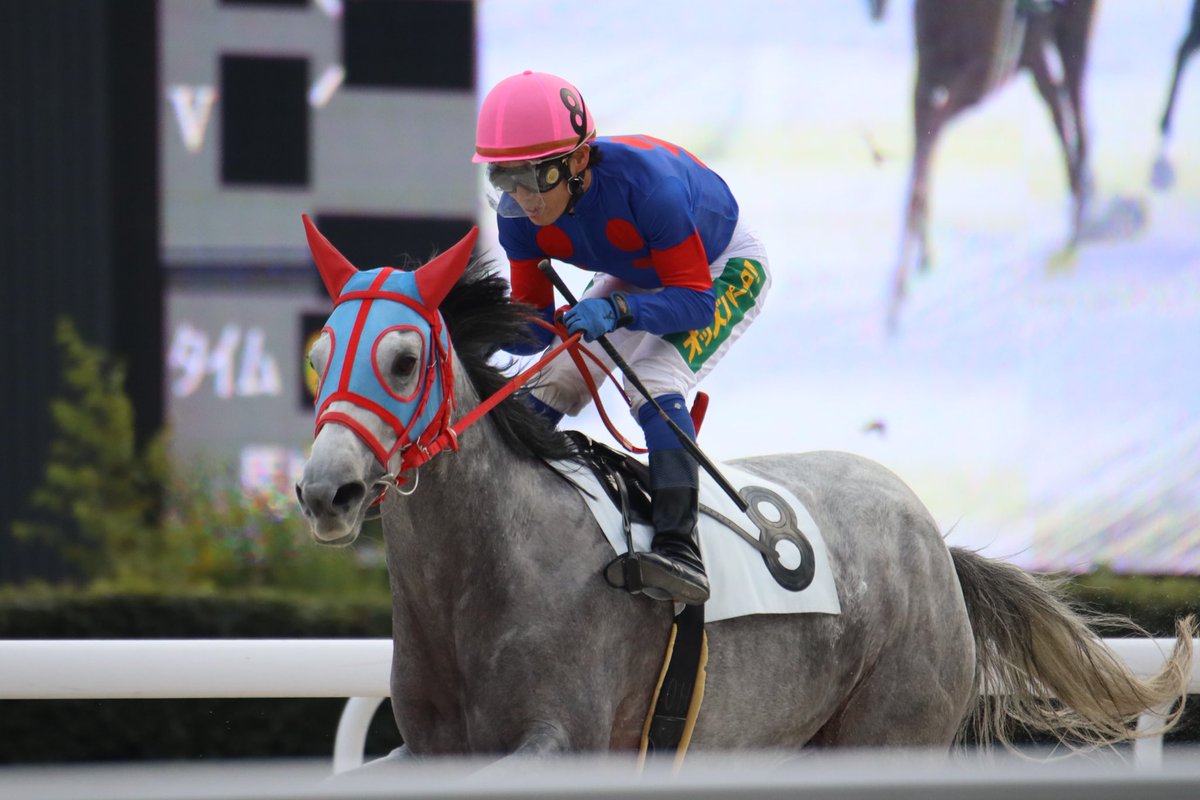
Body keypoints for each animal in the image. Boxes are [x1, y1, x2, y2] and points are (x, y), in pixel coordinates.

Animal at [293, 215, 1194, 766]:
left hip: (890, 727)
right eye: (317, 356)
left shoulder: (560, 738)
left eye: (404, 359)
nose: (325, 491)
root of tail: (935, 544)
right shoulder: (430, 748)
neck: (480, 572)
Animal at [875, 0, 1097, 329]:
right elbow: (921, 160)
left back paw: (1079, 222)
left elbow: (928, 144)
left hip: (1071, 36)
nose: (874, 11)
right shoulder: (927, 79)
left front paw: (897, 296)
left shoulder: (978, 78)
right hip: (1034, 56)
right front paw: (920, 263)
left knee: (1078, 121)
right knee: (1060, 113)